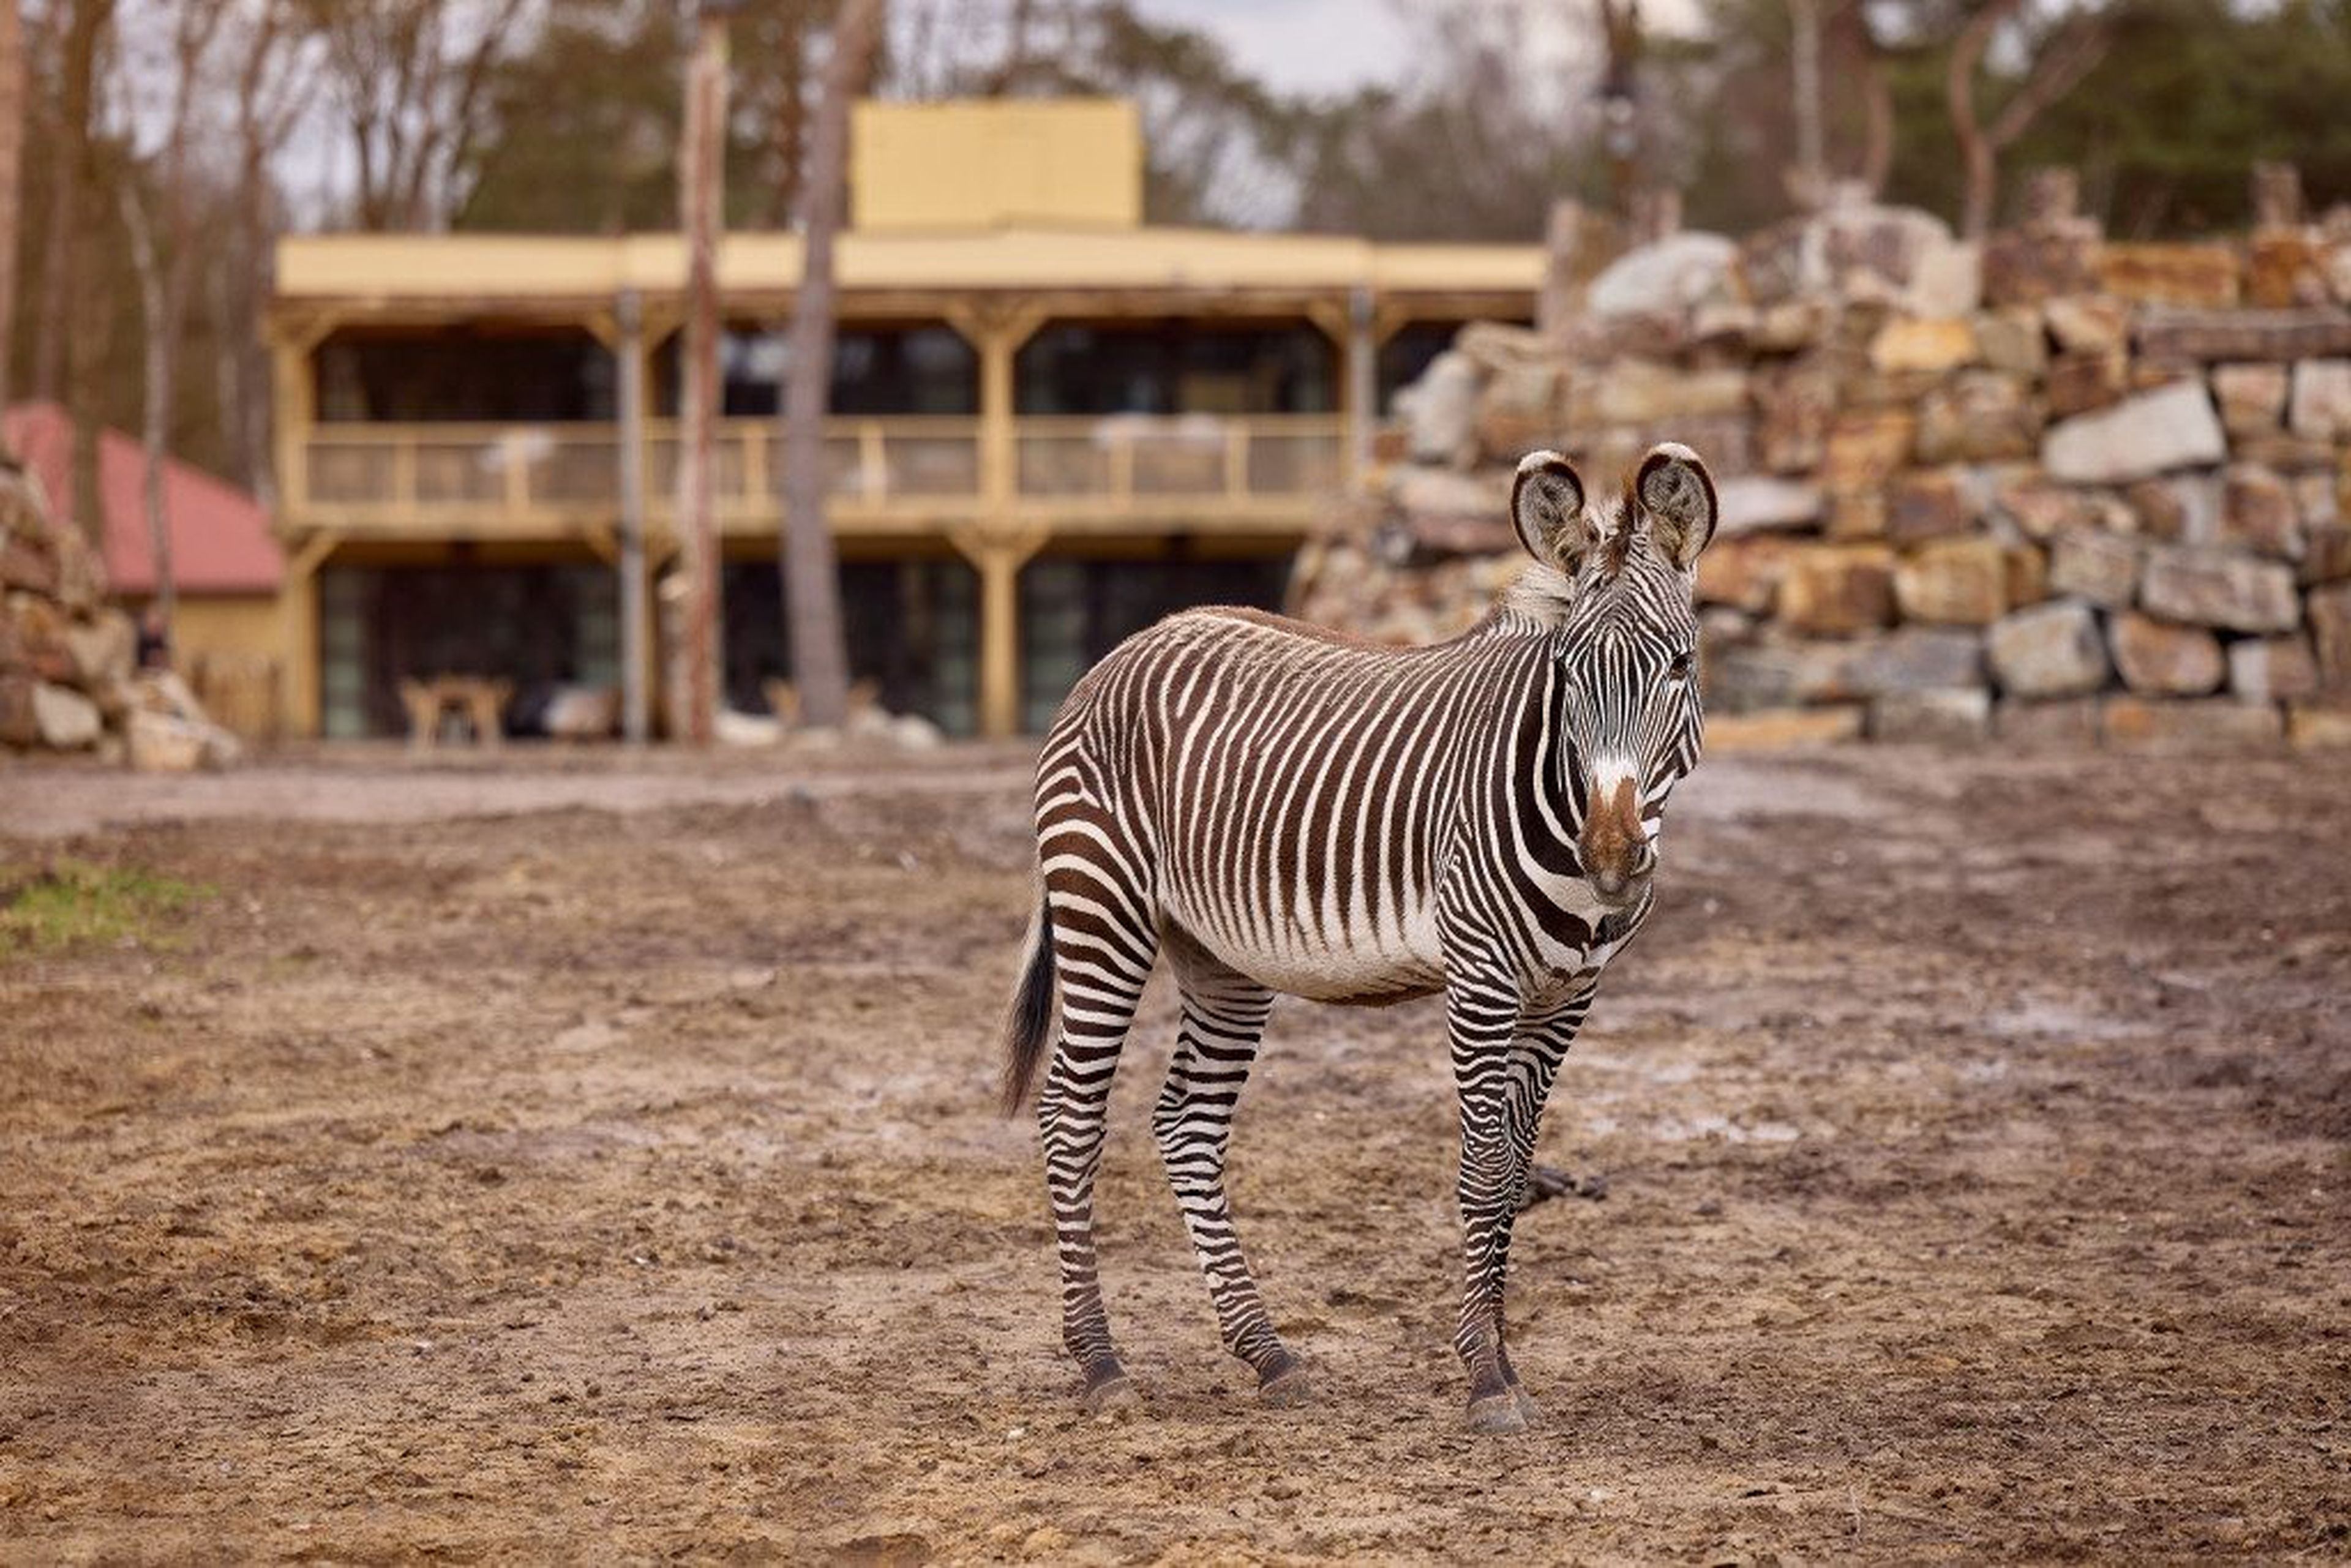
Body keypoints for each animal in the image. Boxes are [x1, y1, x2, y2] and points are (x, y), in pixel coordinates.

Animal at [998, 442, 1717, 1434]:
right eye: (1569, 674)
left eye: (1680, 663)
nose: (1610, 855)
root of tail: (1125, 648)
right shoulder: (1481, 975)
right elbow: (1484, 1165)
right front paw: (1485, 1377)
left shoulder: (1569, 993)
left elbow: (1519, 1166)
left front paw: (1505, 1358)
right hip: (1102, 903)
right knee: (1072, 1113)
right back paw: (1101, 1361)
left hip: (1219, 956)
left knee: (1187, 1123)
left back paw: (1267, 1353)